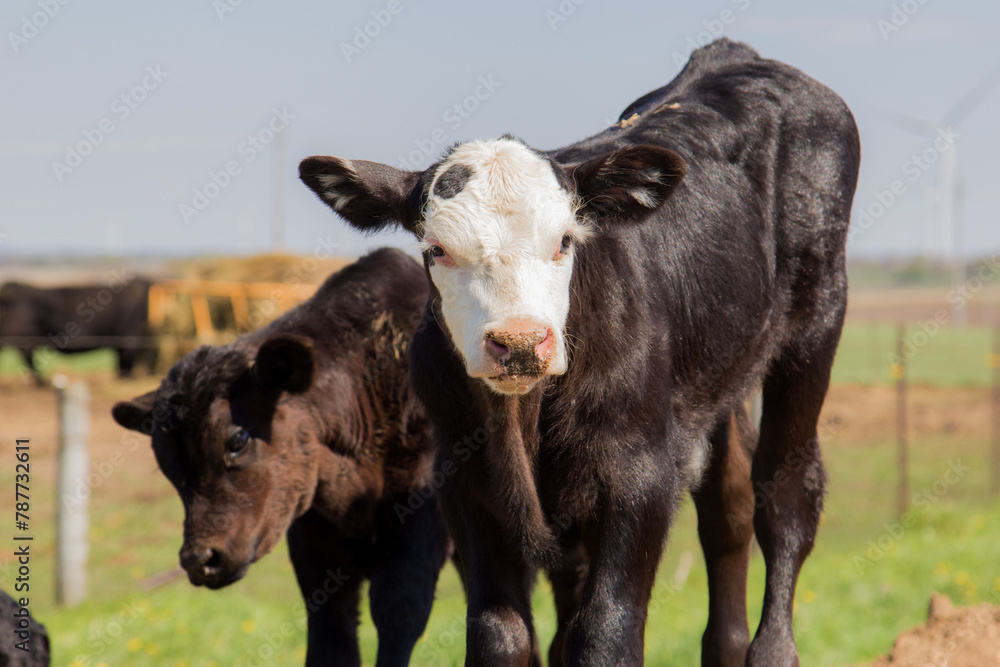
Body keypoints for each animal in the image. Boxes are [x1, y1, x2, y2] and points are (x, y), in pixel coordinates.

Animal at [111, 249, 449, 667]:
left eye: (237, 438)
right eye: (166, 463)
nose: (198, 559)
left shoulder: (417, 531)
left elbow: (399, 612)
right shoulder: (314, 545)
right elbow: (331, 638)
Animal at [300, 39, 860, 666]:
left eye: (565, 240)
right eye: (436, 249)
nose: (520, 341)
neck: (524, 419)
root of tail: (737, 56)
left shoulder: (639, 472)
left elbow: (605, 629)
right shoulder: (464, 479)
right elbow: (502, 631)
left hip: (815, 325)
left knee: (786, 494)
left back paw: (771, 649)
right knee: (728, 508)